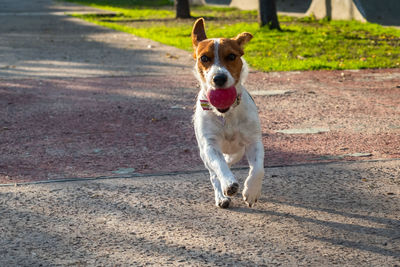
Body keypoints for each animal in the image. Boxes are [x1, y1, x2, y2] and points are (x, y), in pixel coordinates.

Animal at [191, 18, 264, 209]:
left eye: (232, 56)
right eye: (204, 58)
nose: (219, 78)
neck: (226, 114)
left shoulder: (253, 141)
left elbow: (258, 169)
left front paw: (251, 191)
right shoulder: (209, 145)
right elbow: (219, 166)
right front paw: (228, 184)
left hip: (237, 151)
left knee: (230, 160)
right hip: (203, 153)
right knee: (214, 173)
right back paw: (221, 196)